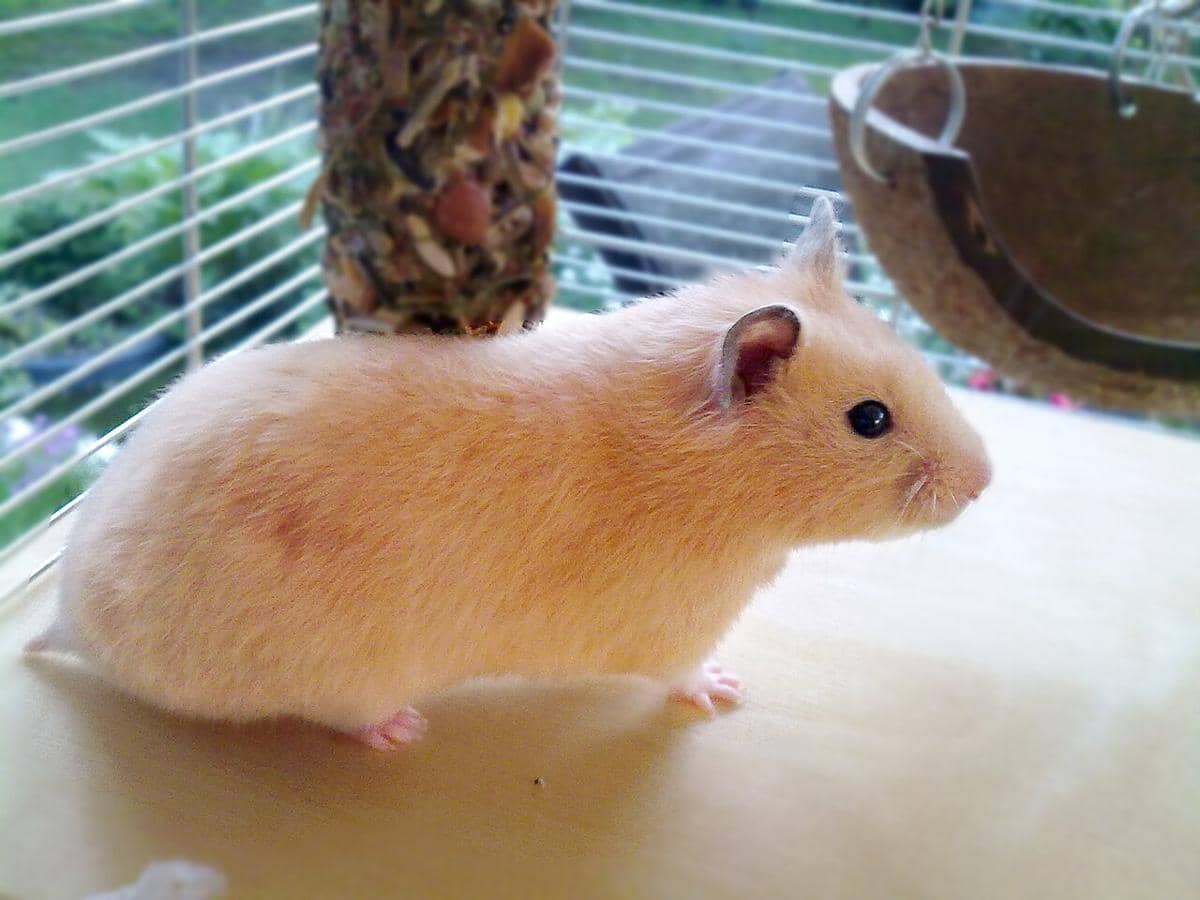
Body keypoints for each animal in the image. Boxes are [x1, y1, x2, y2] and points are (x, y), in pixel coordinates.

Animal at [28, 199, 990, 749]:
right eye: (870, 420)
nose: (984, 481)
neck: (723, 491)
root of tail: (72, 624)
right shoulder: (672, 627)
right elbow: (682, 673)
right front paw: (727, 693)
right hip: (333, 676)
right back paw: (403, 731)